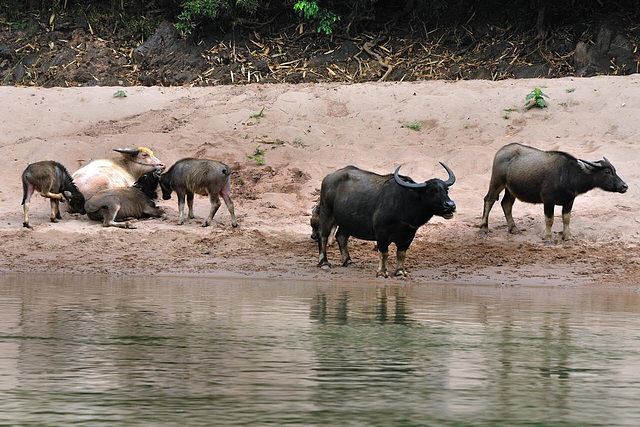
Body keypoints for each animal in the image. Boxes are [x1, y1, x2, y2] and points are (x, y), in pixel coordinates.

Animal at [314, 163, 456, 278]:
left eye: (446, 189)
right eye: (432, 190)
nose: (450, 205)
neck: (405, 203)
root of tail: (328, 177)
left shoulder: (409, 235)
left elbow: (401, 253)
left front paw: (400, 272)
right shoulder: (381, 233)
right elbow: (384, 253)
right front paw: (382, 272)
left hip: (347, 222)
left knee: (341, 236)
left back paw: (348, 261)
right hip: (327, 212)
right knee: (323, 235)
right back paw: (324, 262)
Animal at [480, 143, 624, 241]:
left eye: (615, 170)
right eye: (607, 172)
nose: (624, 186)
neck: (568, 174)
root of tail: (501, 151)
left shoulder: (569, 201)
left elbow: (566, 218)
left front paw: (567, 237)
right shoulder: (548, 200)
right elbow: (549, 219)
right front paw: (548, 238)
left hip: (511, 189)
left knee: (506, 204)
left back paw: (513, 228)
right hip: (497, 182)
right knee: (489, 200)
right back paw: (483, 227)